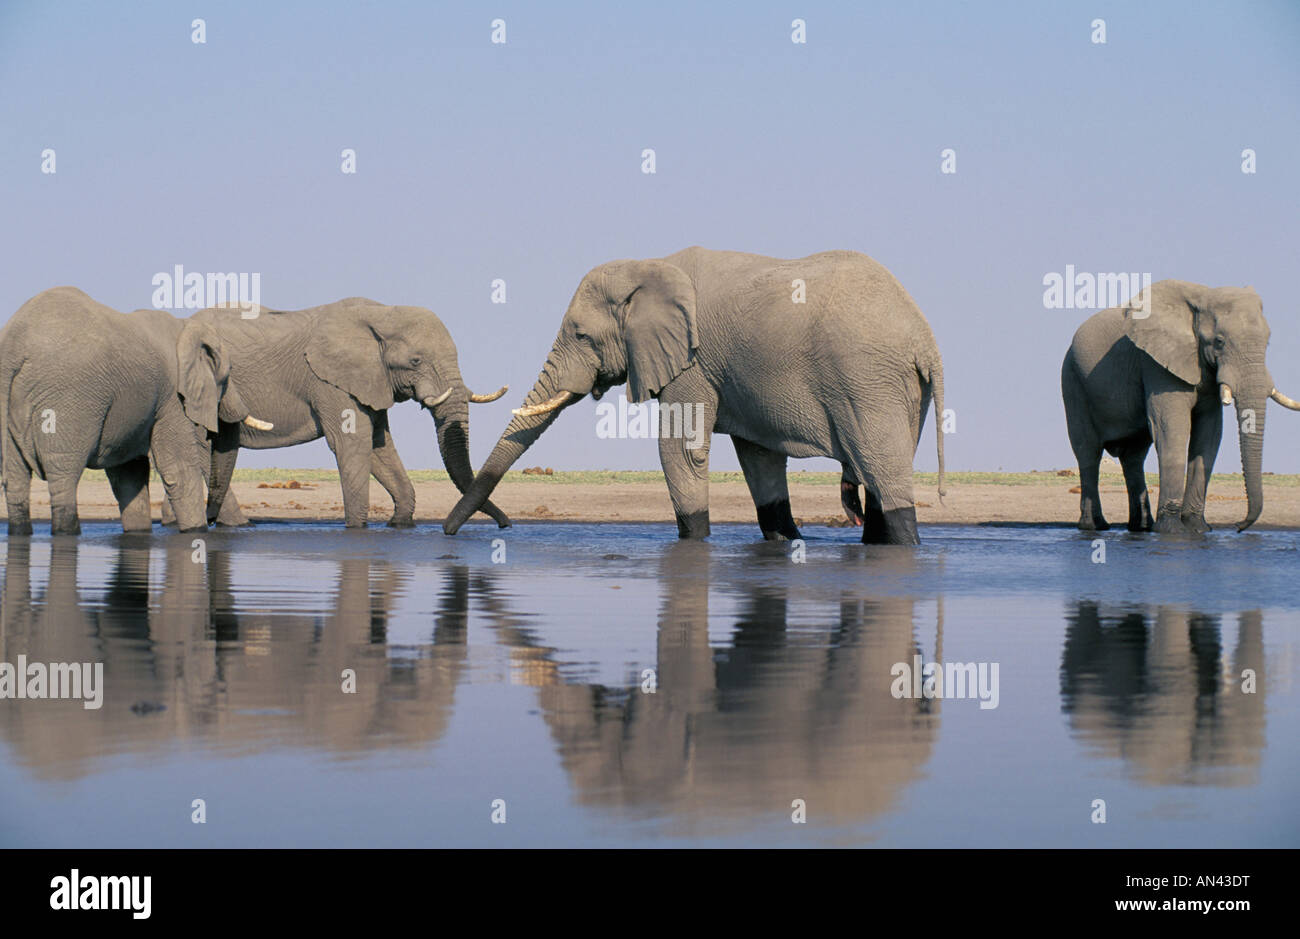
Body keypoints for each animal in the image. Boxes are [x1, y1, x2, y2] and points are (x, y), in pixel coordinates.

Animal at [0, 287, 268, 534]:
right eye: (228, 374)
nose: (212, 521)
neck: (185, 327)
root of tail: (13, 349)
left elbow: (129, 475)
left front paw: (138, 533)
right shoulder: (172, 396)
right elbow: (178, 468)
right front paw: (195, 533)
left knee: (15, 480)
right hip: (65, 403)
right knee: (64, 477)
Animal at [190, 297, 512, 529]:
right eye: (416, 361)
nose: (505, 525)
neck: (381, 313)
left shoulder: (372, 382)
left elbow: (379, 447)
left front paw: (398, 524)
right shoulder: (328, 382)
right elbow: (352, 443)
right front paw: (357, 528)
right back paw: (239, 525)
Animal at [442, 247, 946, 545]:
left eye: (581, 335)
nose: (446, 532)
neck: (648, 266)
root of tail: (924, 340)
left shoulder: (693, 362)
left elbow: (680, 450)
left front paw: (694, 541)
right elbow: (759, 459)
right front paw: (787, 542)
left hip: (867, 381)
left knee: (883, 471)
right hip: (900, 388)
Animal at [1062, 281, 1299, 534]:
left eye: (1268, 341)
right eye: (1219, 341)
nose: (1238, 526)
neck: (1203, 297)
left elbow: (1210, 433)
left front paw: (1198, 528)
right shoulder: (1156, 363)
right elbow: (1172, 429)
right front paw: (1172, 531)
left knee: (1134, 456)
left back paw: (1141, 527)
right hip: (1072, 380)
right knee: (1088, 452)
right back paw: (1094, 526)